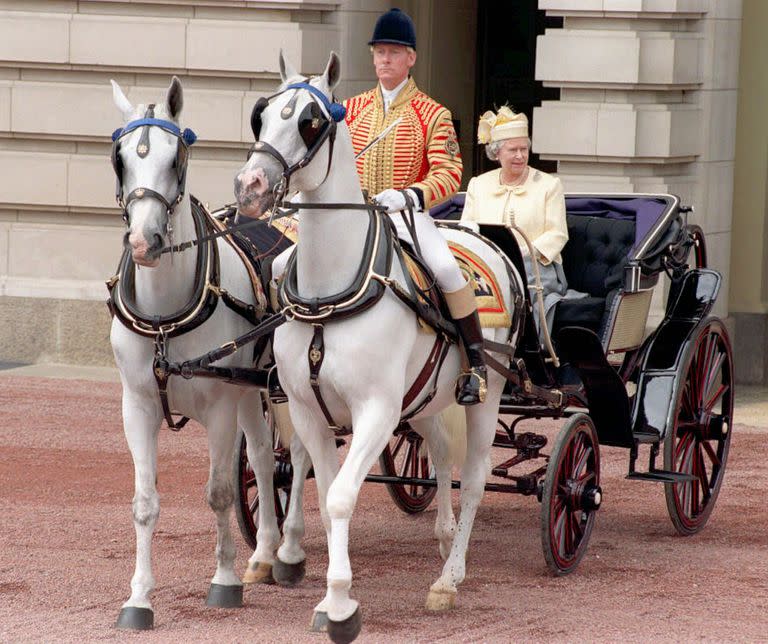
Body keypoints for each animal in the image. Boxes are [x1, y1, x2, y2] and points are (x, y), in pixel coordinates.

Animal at [109, 75, 312, 628]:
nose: (145, 241)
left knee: (299, 456)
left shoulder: (220, 404)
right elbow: (143, 502)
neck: (165, 316)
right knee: (264, 459)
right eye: (120, 159)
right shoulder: (138, 406)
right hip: (252, 390)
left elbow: (219, 492)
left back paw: (288, 551)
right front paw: (138, 598)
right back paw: (263, 554)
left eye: (176, 158)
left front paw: (223, 581)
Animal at [234, 52, 520, 640]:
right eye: (262, 114)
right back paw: (443, 539)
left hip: (486, 395)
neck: (331, 292)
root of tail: (485, 241)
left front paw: (341, 604)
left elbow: (343, 496)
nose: (250, 184)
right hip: (426, 400)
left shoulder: (376, 412)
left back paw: (450, 577)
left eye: (310, 122)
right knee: (440, 455)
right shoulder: (309, 410)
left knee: (474, 477)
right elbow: (324, 495)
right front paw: (325, 590)